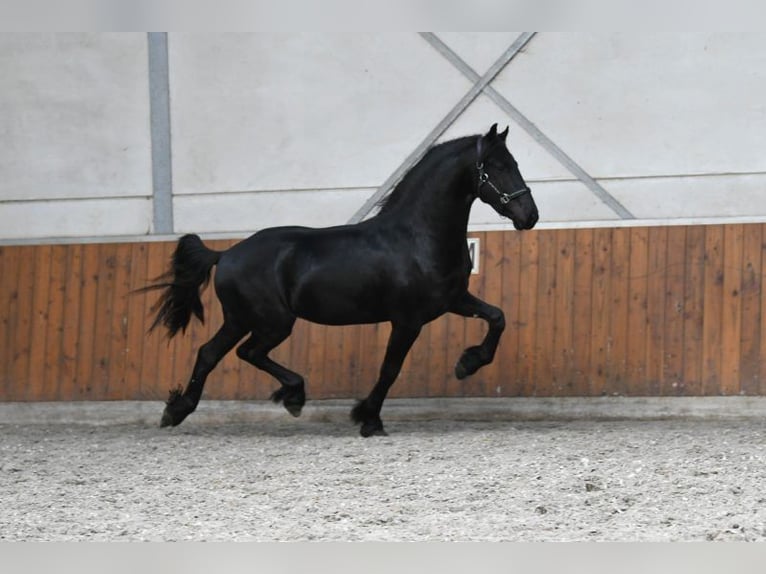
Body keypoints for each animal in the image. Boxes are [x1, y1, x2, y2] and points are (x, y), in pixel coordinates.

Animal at [145, 123, 539, 436]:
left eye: (516, 164)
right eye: (498, 167)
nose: (529, 216)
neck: (417, 237)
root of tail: (225, 255)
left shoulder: (454, 299)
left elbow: (497, 317)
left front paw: (467, 363)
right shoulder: (407, 320)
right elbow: (390, 369)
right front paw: (369, 420)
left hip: (241, 319)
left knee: (211, 353)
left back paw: (178, 412)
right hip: (272, 321)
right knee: (246, 352)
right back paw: (292, 396)